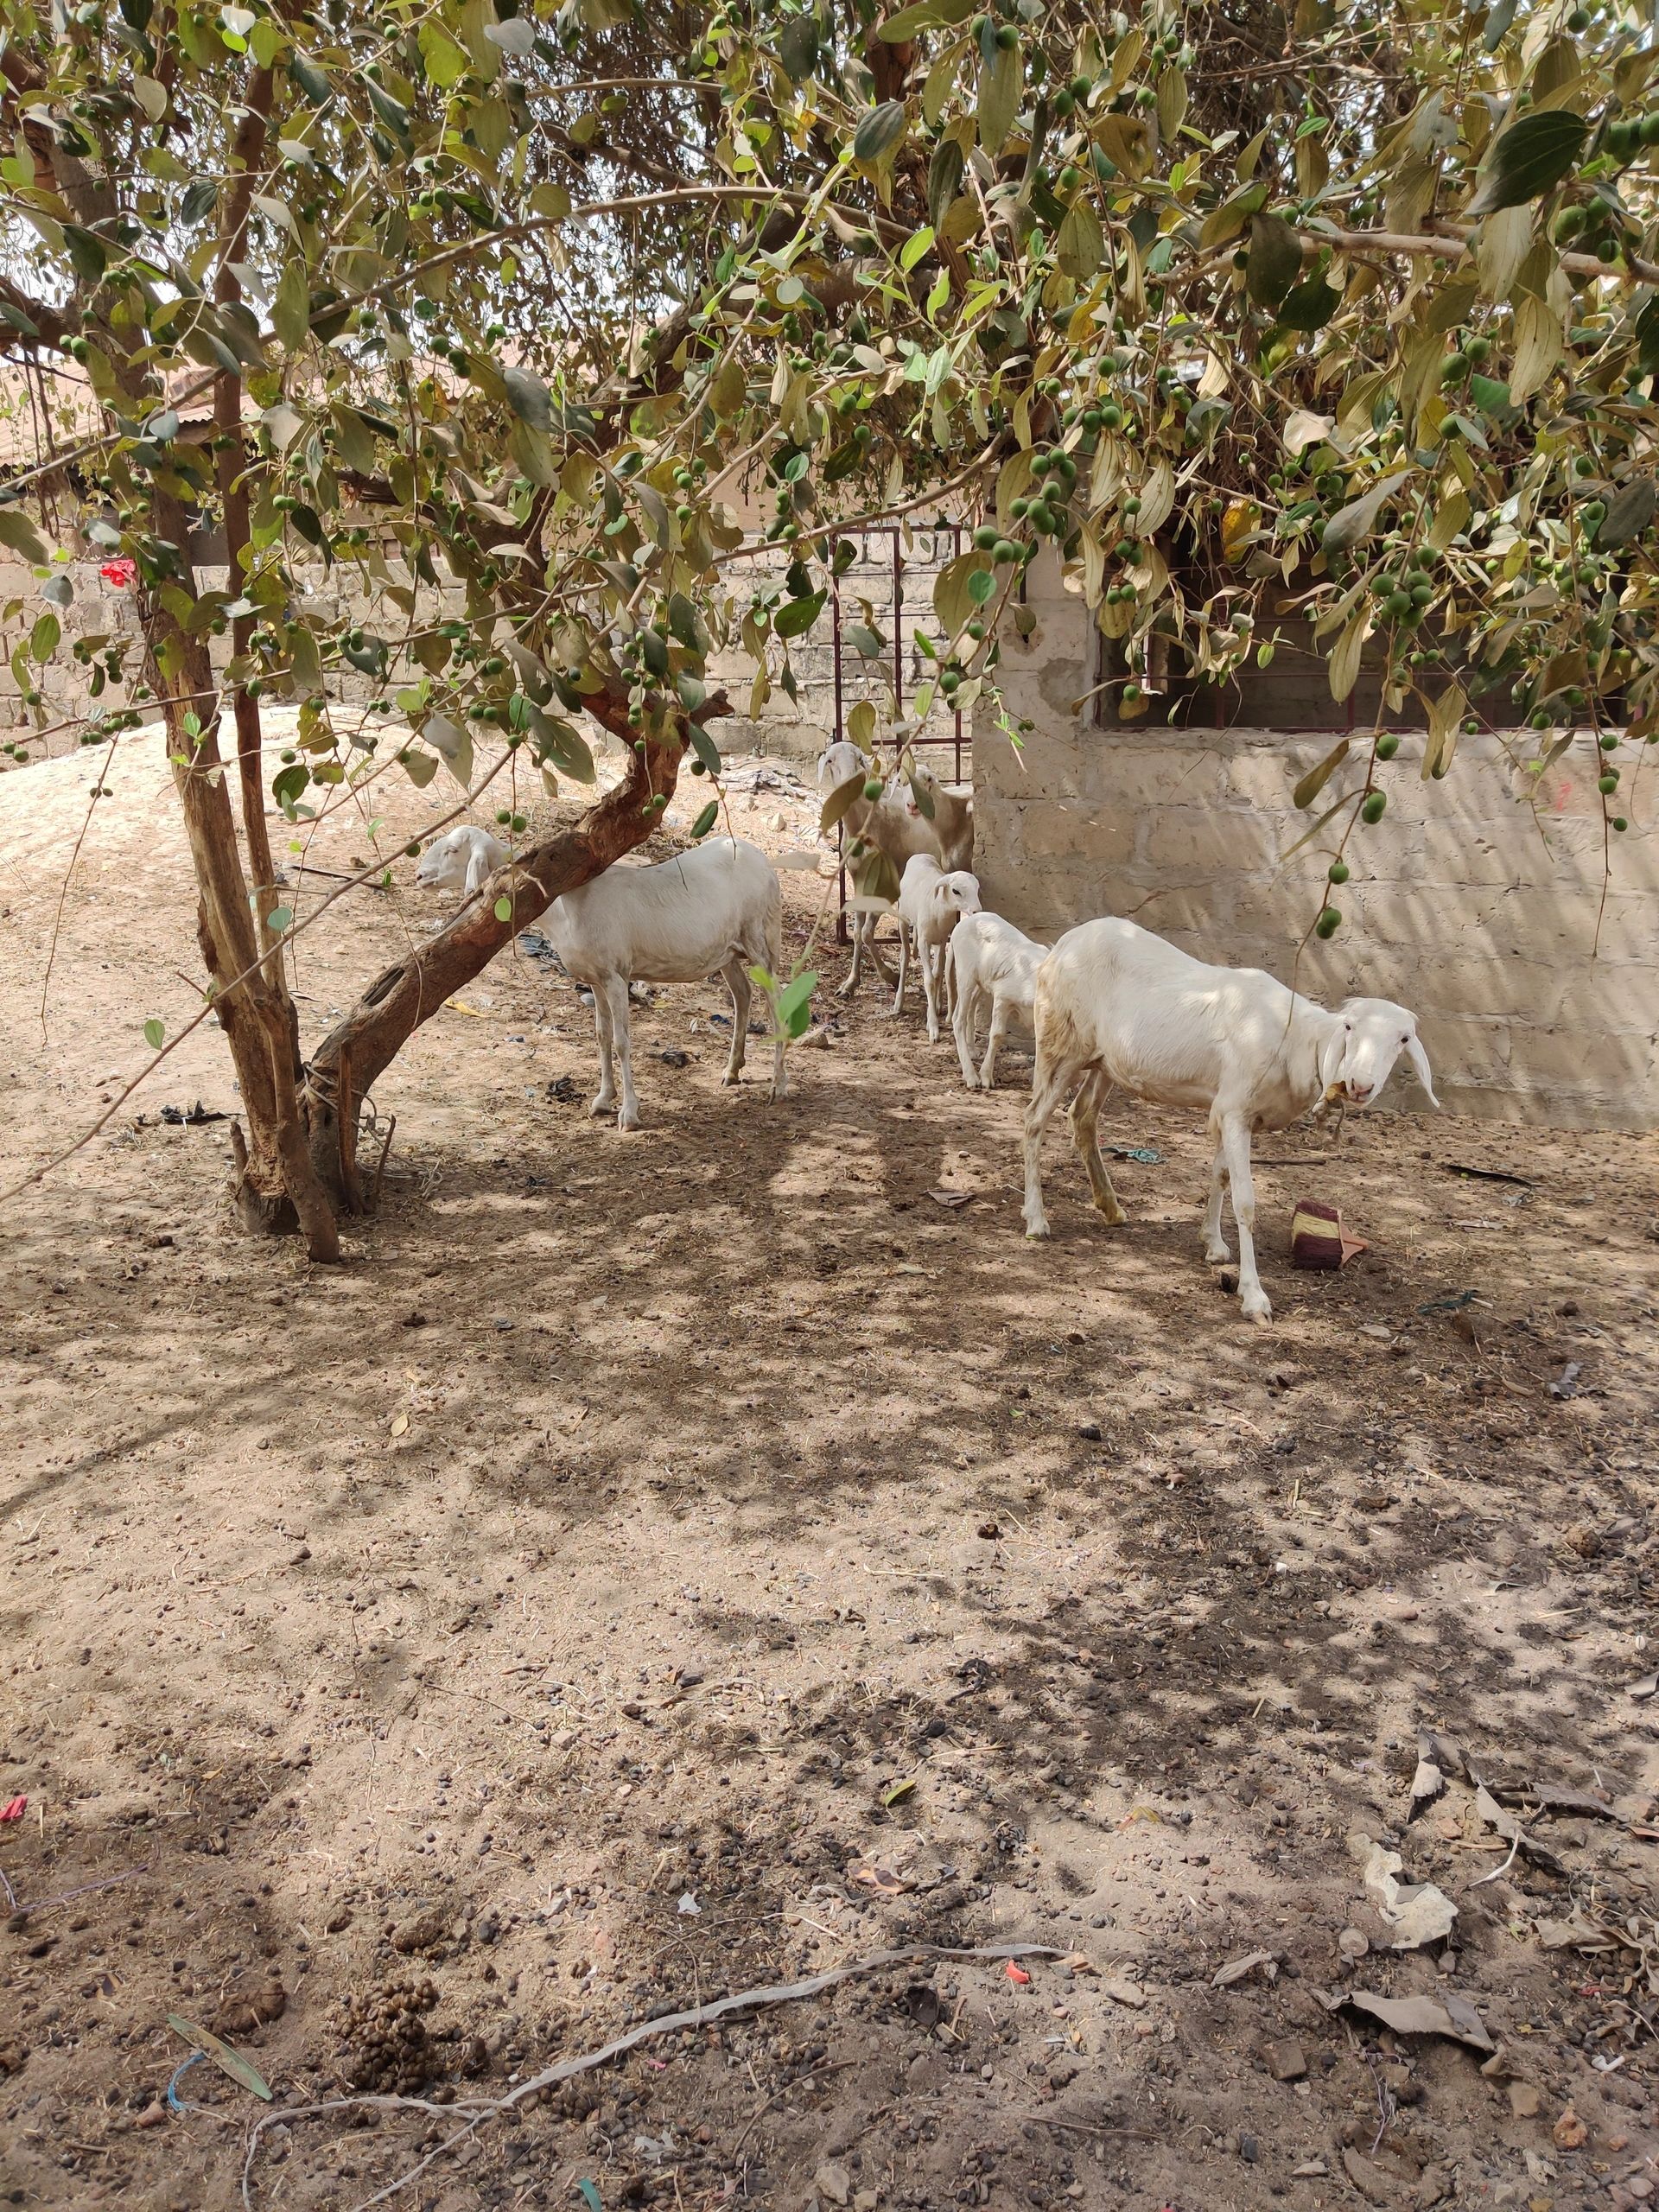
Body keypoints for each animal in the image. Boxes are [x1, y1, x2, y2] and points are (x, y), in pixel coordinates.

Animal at [413, 831, 783, 1141]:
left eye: (453, 849)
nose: (419, 876)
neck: (561, 907)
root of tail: (760, 856)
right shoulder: (595, 979)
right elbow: (602, 1037)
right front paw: (603, 1100)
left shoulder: (616, 975)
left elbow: (621, 1042)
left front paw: (629, 1114)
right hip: (727, 950)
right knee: (743, 994)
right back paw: (732, 1070)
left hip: (761, 937)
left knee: (776, 1003)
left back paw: (779, 1086)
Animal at [818, 739, 973, 1000]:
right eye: (830, 760)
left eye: (859, 759)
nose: (850, 786)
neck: (869, 823)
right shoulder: (859, 880)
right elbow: (858, 932)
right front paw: (850, 983)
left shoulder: (885, 885)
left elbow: (867, 932)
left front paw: (889, 975)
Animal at [898, 854, 986, 1044]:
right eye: (956, 891)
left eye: (976, 889)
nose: (977, 911)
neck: (938, 909)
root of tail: (919, 854)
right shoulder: (924, 942)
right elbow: (929, 980)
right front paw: (933, 1027)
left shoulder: (942, 939)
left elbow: (938, 973)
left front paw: (935, 1009)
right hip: (903, 919)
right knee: (905, 957)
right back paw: (898, 1002)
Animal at [946, 911, 1052, 1092]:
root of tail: (962, 924)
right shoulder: (1002, 998)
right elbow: (997, 1035)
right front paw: (986, 1079)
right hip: (965, 977)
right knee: (958, 1018)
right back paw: (971, 1077)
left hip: (980, 983)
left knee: (970, 1009)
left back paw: (973, 1051)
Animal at [1021, 919, 1433, 1327]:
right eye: (1348, 1028)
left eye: (1403, 1039)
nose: (1360, 1085)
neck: (1295, 1041)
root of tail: (1062, 944)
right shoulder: (1236, 1109)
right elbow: (1245, 1202)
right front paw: (1254, 1296)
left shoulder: (1227, 1109)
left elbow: (1220, 1175)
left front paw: (1213, 1243)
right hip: (1059, 1045)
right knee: (1034, 1121)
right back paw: (1036, 1219)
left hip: (1104, 1061)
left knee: (1082, 1116)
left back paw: (1110, 1207)